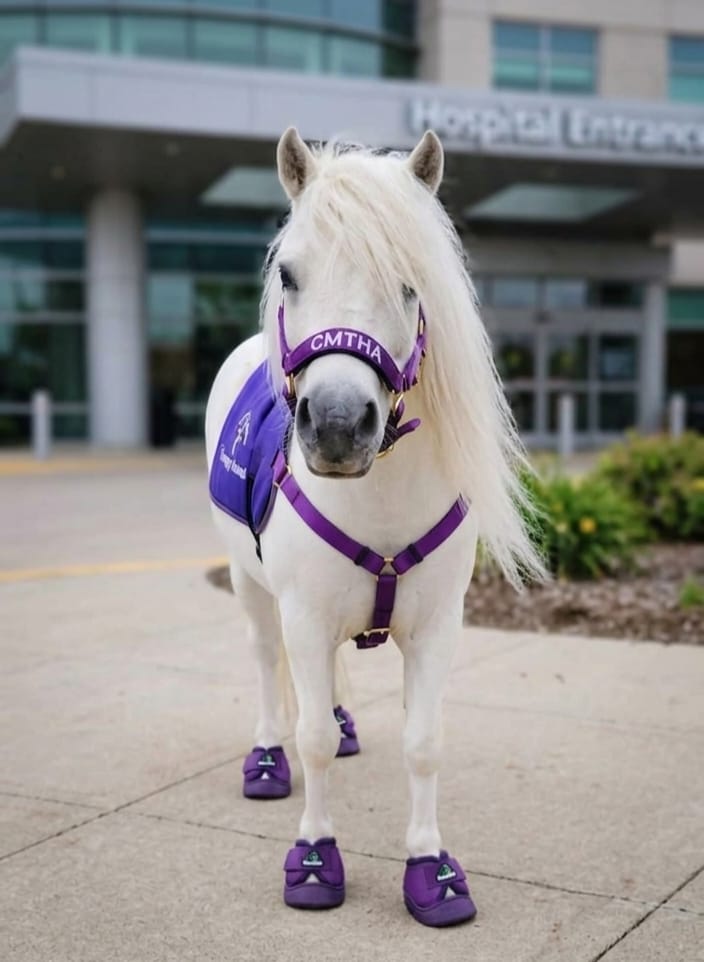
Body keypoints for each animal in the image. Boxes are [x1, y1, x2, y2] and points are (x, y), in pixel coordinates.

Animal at [205, 127, 544, 927]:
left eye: (411, 283)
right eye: (289, 274)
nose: (335, 425)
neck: (378, 495)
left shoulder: (439, 624)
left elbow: (423, 741)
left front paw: (431, 868)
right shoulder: (301, 613)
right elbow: (314, 741)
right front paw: (314, 856)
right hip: (247, 583)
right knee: (265, 663)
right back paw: (267, 757)